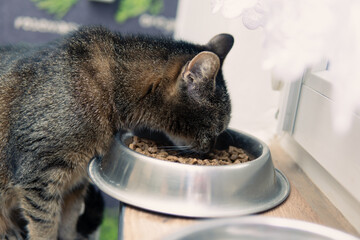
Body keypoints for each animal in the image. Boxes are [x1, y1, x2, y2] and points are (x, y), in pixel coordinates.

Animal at [0, 25, 235, 239]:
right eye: (215, 128)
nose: (208, 149)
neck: (113, 90)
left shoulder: (75, 184)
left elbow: (67, 225)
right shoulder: (39, 177)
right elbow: (45, 226)